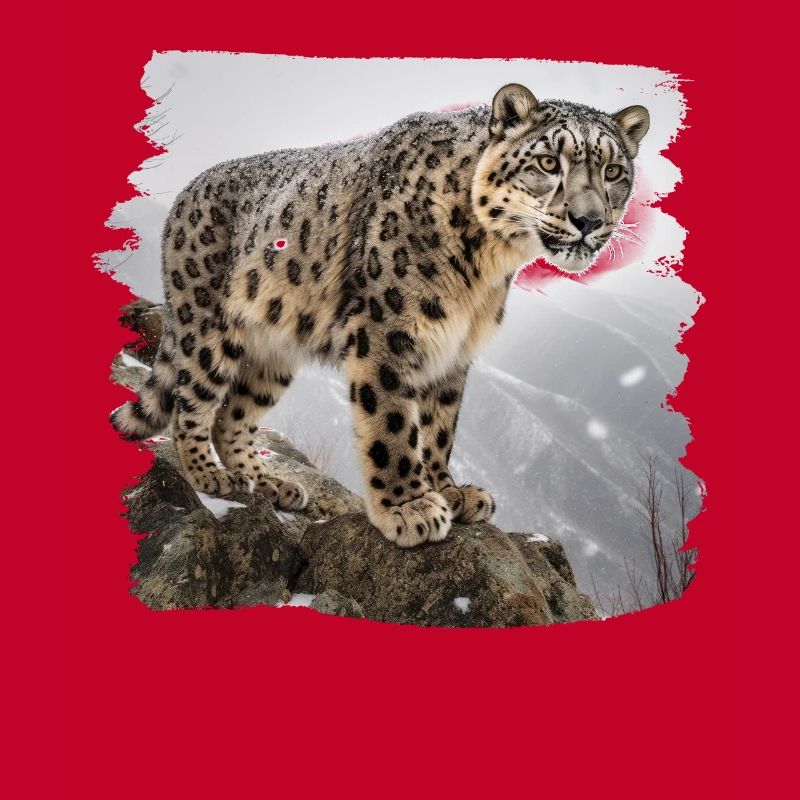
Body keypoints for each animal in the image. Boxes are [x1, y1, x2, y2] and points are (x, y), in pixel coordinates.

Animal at [111, 83, 650, 548]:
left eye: (614, 172)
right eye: (547, 162)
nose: (589, 221)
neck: (486, 268)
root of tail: (186, 193)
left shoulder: (454, 349)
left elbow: (440, 426)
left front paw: (450, 491)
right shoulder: (388, 330)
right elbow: (393, 421)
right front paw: (410, 508)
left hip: (274, 355)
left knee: (234, 417)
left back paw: (267, 483)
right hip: (208, 325)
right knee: (193, 402)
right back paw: (211, 476)